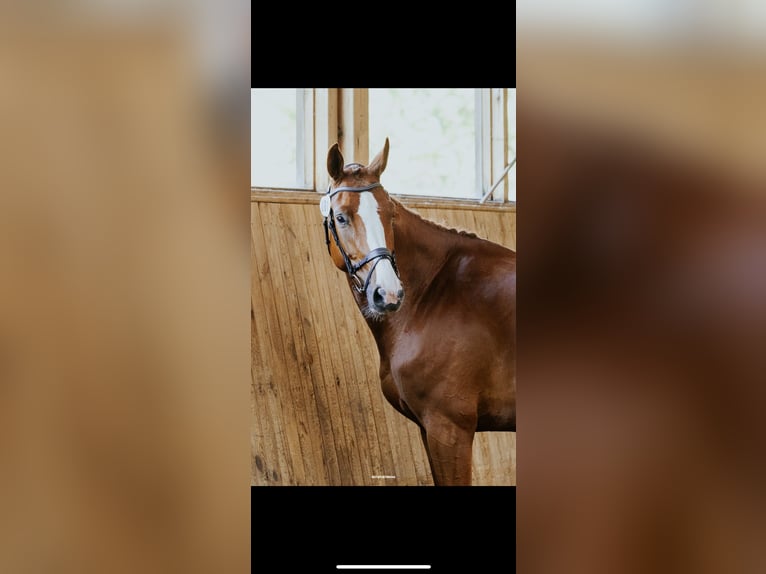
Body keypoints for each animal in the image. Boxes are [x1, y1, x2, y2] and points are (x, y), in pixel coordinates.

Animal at [320, 138, 516, 486]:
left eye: (390, 215)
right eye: (341, 217)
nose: (388, 293)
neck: (436, 291)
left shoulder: (449, 428)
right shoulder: (428, 429)